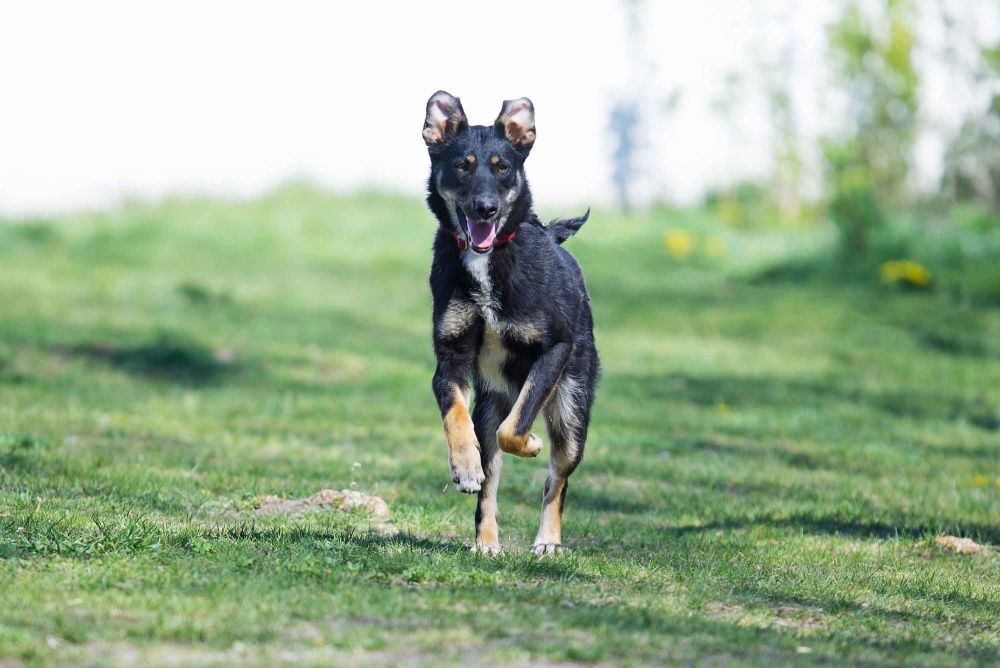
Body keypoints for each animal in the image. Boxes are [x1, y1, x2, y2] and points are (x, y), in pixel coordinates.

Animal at [420, 91, 596, 556]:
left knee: (558, 478)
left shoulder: (554, 350)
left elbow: (515, 429)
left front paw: (530, 442)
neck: (487, 261)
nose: (486, 208)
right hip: (490, 404)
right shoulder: (450, 360)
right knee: (490, 482)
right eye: (462, 165)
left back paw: (548, 540)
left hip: (573, 410)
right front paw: (464, 466)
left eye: (502, 167)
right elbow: (456, 416)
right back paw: (485, 541)